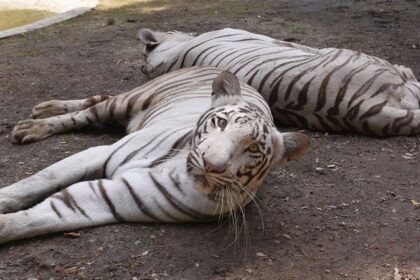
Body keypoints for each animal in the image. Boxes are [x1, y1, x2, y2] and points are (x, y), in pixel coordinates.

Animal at [0, 66, 310, 244]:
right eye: (222, 123)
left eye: (253, 149)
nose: (211, 165)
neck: (175, 164)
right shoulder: (98, 153)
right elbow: (41, 179)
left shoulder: (110, 197)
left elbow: (39, 217)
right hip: (126, 101)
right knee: (84, 112)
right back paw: (35, 121)